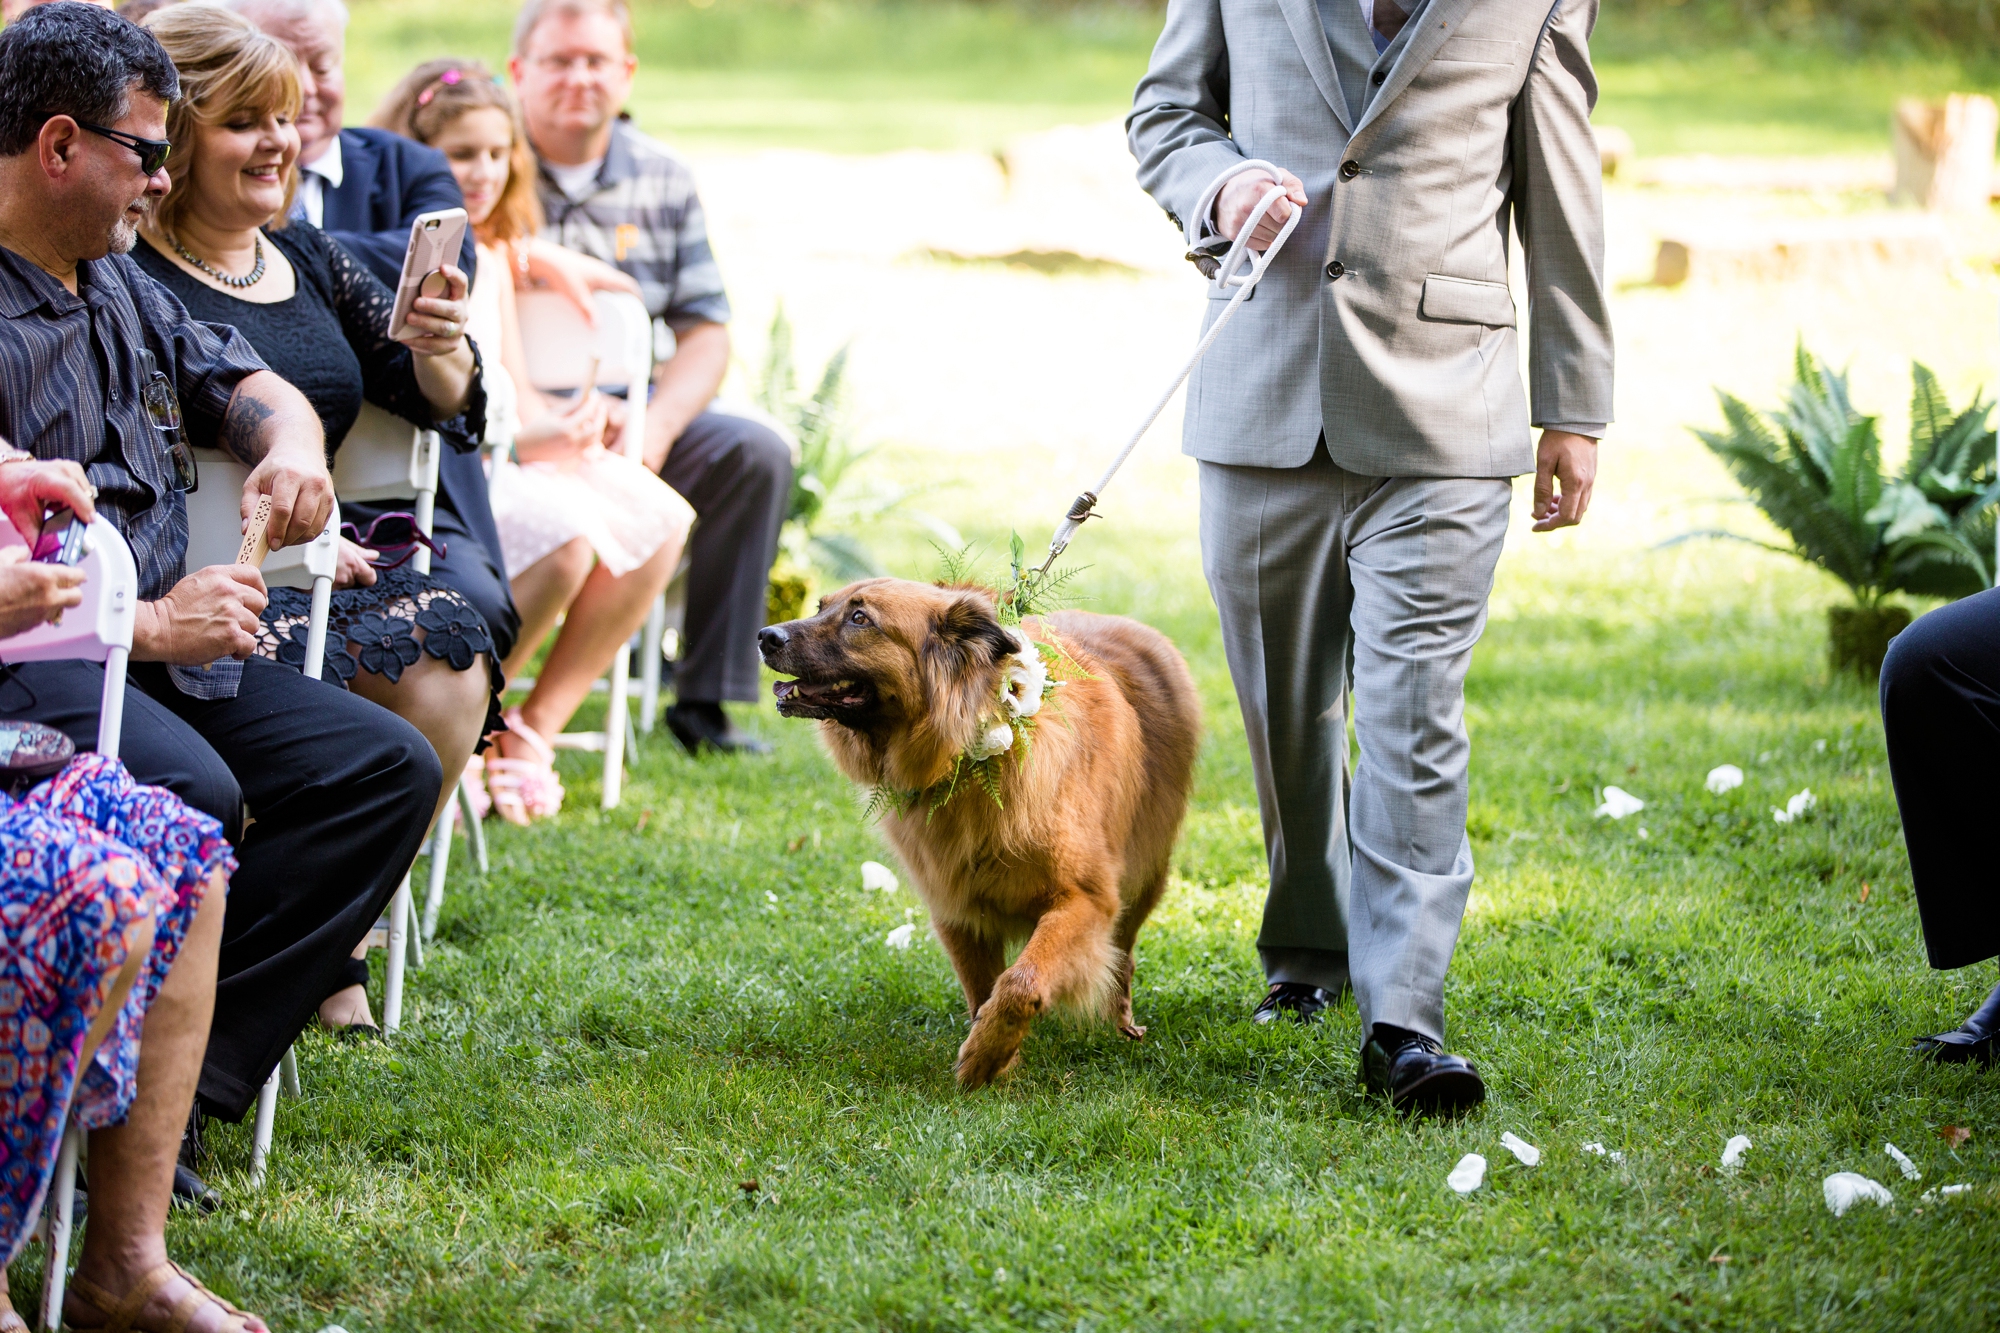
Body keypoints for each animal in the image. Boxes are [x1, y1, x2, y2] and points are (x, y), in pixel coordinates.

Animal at [760, 576, 1200, 1088]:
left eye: (860, 619)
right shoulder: (958, 908)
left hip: (1145, 876)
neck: (967, 758)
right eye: (820, 607)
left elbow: (1021, 981)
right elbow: (984, 988)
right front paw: (996, 1052)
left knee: (1123, 953)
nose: (765, 636)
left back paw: (1122, 1021)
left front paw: (984, 1058)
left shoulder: (1087, 899)